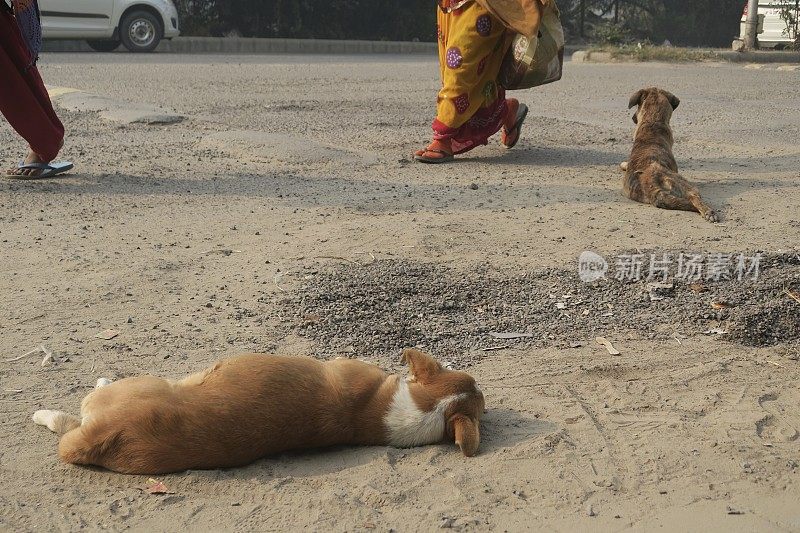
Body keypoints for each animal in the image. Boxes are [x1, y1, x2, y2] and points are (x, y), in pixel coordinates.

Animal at [620, 88, 720, 221]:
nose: (633, 118)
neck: (652, 120)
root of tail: (651, 185)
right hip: (684, 184)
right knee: (694, 198)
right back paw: (709, 212)